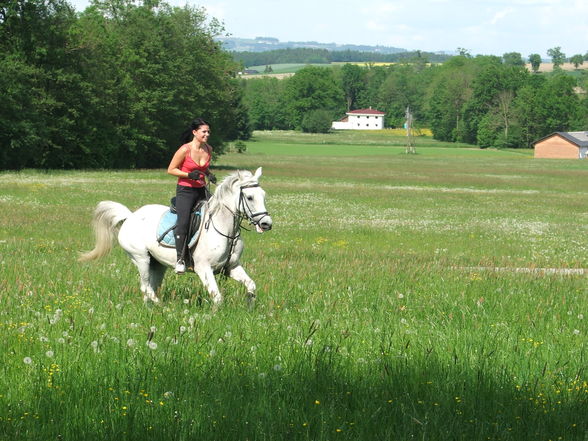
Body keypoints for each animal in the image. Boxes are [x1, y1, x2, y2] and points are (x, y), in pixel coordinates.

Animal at [79, 167, 272, 304]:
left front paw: (249, 307)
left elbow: (251, 286)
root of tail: (130, 216)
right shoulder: (204, 269)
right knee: (146, 288)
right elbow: (217, 297)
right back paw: (163, 308)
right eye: (249, 197)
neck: (224, 228)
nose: (266, 223)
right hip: (140, 258)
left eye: (263, 195)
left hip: (156, 264)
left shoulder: (232, 267)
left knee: (150, 288)